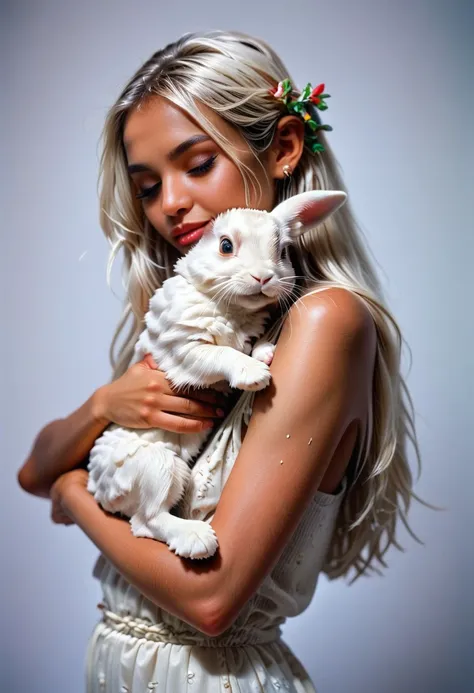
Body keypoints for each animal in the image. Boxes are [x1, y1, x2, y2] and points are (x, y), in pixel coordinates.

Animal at [86, 188, 344, 556]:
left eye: (282, 251)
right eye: (225, 246)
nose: (264, 277)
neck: (231, 306)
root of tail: (99, 490)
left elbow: (246, 345)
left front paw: (266, 352)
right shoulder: (186, 350)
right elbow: (222, 353)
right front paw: (254, 374)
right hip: (160, 467)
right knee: (147, 520)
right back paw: (197, 540)